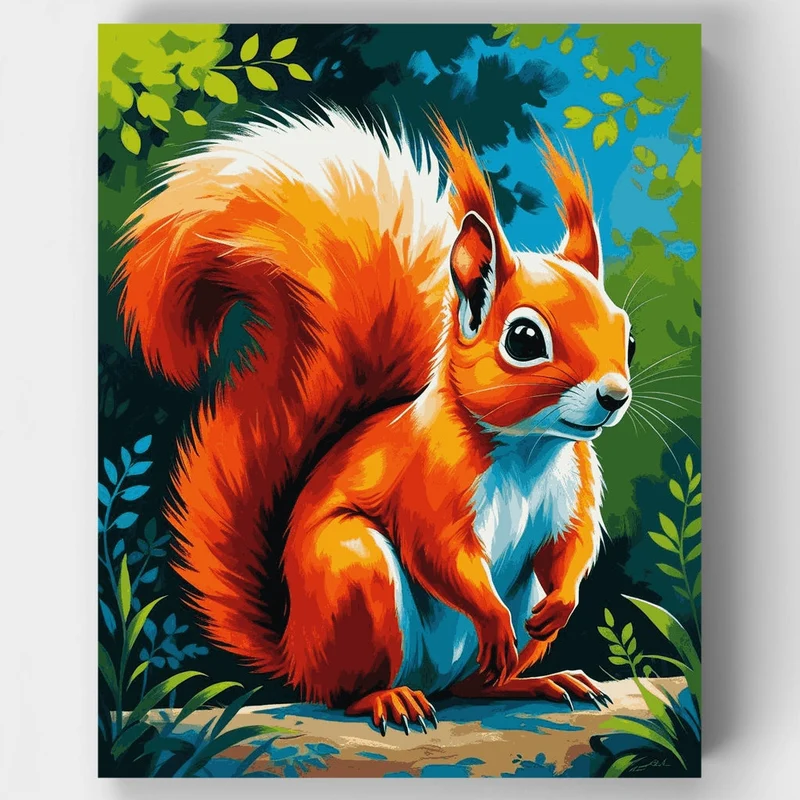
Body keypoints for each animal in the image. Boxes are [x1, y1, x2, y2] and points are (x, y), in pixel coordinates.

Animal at [116, 106, 633, 735]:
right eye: (525, 339)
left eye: (627, 336)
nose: (614, 395)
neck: (530, 448)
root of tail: (296, 655)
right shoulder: (429, 485)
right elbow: (439, 555)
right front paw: (490, 618)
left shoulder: (575, 487)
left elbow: (572, 548)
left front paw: (562, 605)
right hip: (357, 575)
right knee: (344, 694)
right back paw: (388, 698)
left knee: (477, 684)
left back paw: (537, 680)